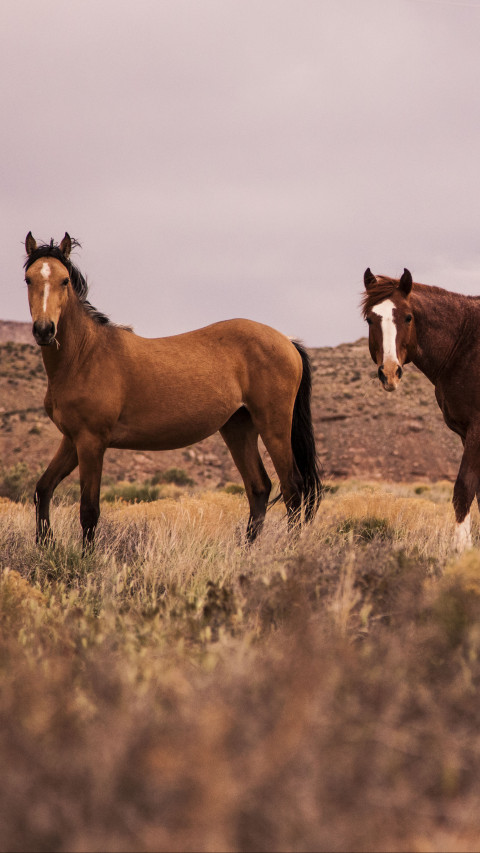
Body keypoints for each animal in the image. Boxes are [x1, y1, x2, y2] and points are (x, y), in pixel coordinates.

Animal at [23, 232, 322, 550]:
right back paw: (247, 551)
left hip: (274, 426)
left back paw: (289, 550)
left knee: (293, 489)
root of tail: (287, 341)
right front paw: (44, 544)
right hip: (238, 428)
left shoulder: (91, 442)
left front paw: (85, 558)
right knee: (259, 487)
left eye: (64, 280)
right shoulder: (72, 440)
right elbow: (43, 489)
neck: (85, 355)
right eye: (28, 279)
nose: (44, 330)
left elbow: (89, 510)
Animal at [362, 266, 480, 551]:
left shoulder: (477, 429)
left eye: (408, 317)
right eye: (370, 320)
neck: (465, 346)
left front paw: (461, 549)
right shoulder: (466, 433)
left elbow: (463, 489)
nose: (389, 373)